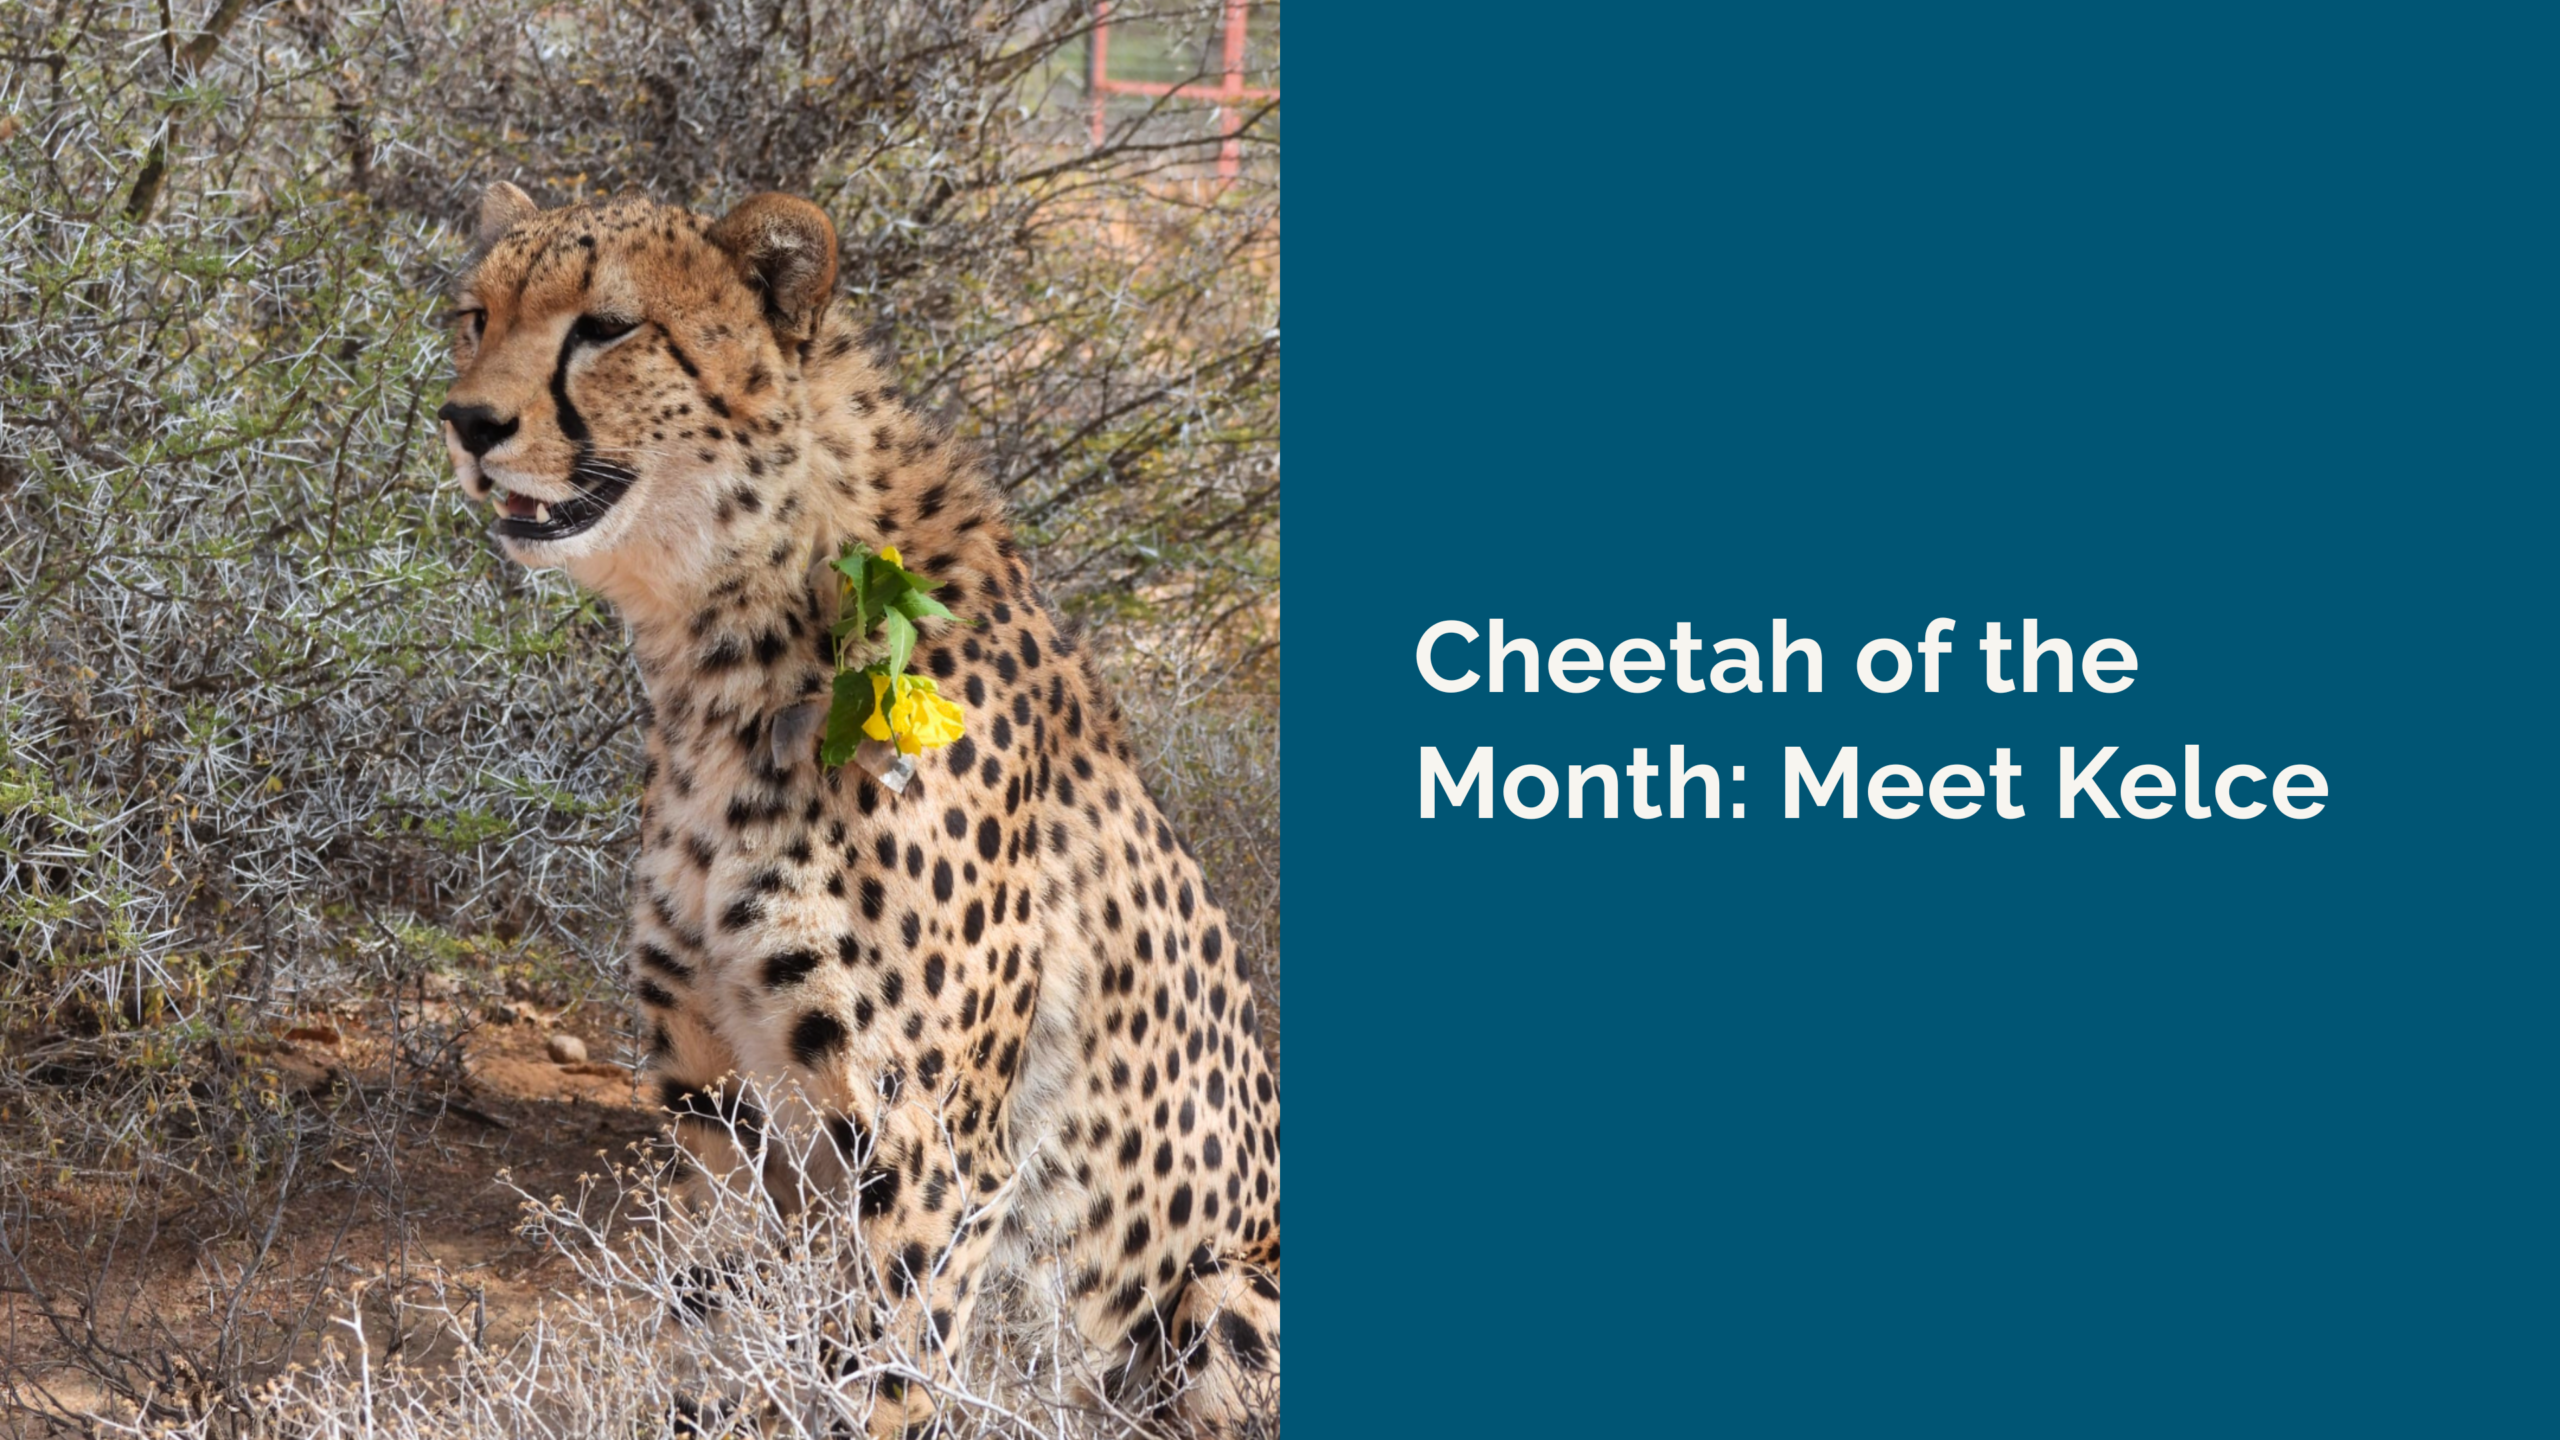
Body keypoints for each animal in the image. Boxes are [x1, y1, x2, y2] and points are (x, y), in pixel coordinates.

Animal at [435, 182, 1278, 1435]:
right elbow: (718, 1330)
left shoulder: (929, 1152)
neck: (730, 648)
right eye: (475, 316)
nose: (466, 422)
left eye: (606, 328)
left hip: (1223, 1289)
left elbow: (884, 1381)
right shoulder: (717, 1110)